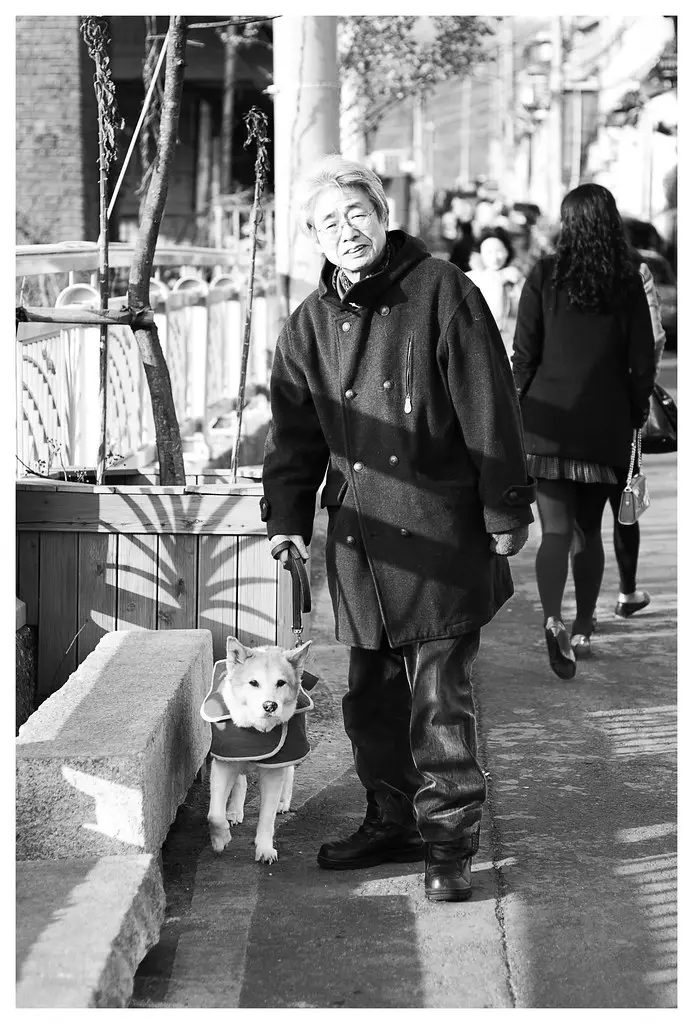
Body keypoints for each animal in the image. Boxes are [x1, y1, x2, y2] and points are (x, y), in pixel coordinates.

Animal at [201, 638, 311, 864]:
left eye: (281, 682)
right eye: (253, 683)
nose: (270, 705)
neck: (255, 728)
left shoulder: (275, 768)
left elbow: (267, 817)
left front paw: (265, 849)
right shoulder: (224, 763)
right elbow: (214, 814)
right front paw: (220, 839)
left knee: (289, 773)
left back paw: (283, 802)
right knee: (240, 781)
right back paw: (234, 811)